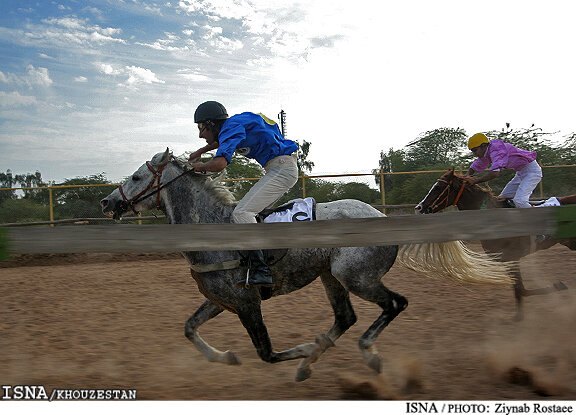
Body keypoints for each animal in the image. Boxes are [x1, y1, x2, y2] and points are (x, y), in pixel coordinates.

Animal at [100, 151, 508, 382]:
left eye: (136, 177)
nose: (106, 203)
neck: (212, 228)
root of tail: (381, 217)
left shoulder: (247, 303)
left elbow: (266, 352)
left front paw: (302, 349)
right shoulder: (220, 299)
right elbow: (189, 328)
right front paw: (225, 356)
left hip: (355, 276)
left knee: (395, 304)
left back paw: (364, 354)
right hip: (331, 277)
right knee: (345, 318)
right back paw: (315, 359)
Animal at [416, 171, 572, 320]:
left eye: (438, 187)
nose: (419, 207)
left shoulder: (511, 256)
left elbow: (521, 288)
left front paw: (558, 286)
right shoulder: (507, 259)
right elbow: (519, 288)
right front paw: (519, 315)